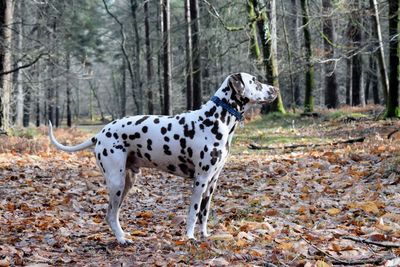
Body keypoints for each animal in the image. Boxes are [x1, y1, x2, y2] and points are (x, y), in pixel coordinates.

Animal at [49, 73, 278, 245]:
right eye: (255, 81)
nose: (275, 89)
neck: (214, 120)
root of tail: (99, 134)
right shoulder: (200, 181)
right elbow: (193, 212)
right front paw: (189, 237)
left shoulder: (212, 183)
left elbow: (204, 213)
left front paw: (205, 235)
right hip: (116, 182)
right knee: (110, 214)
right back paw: (122, 239)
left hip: (127, 182)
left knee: (113, 214)